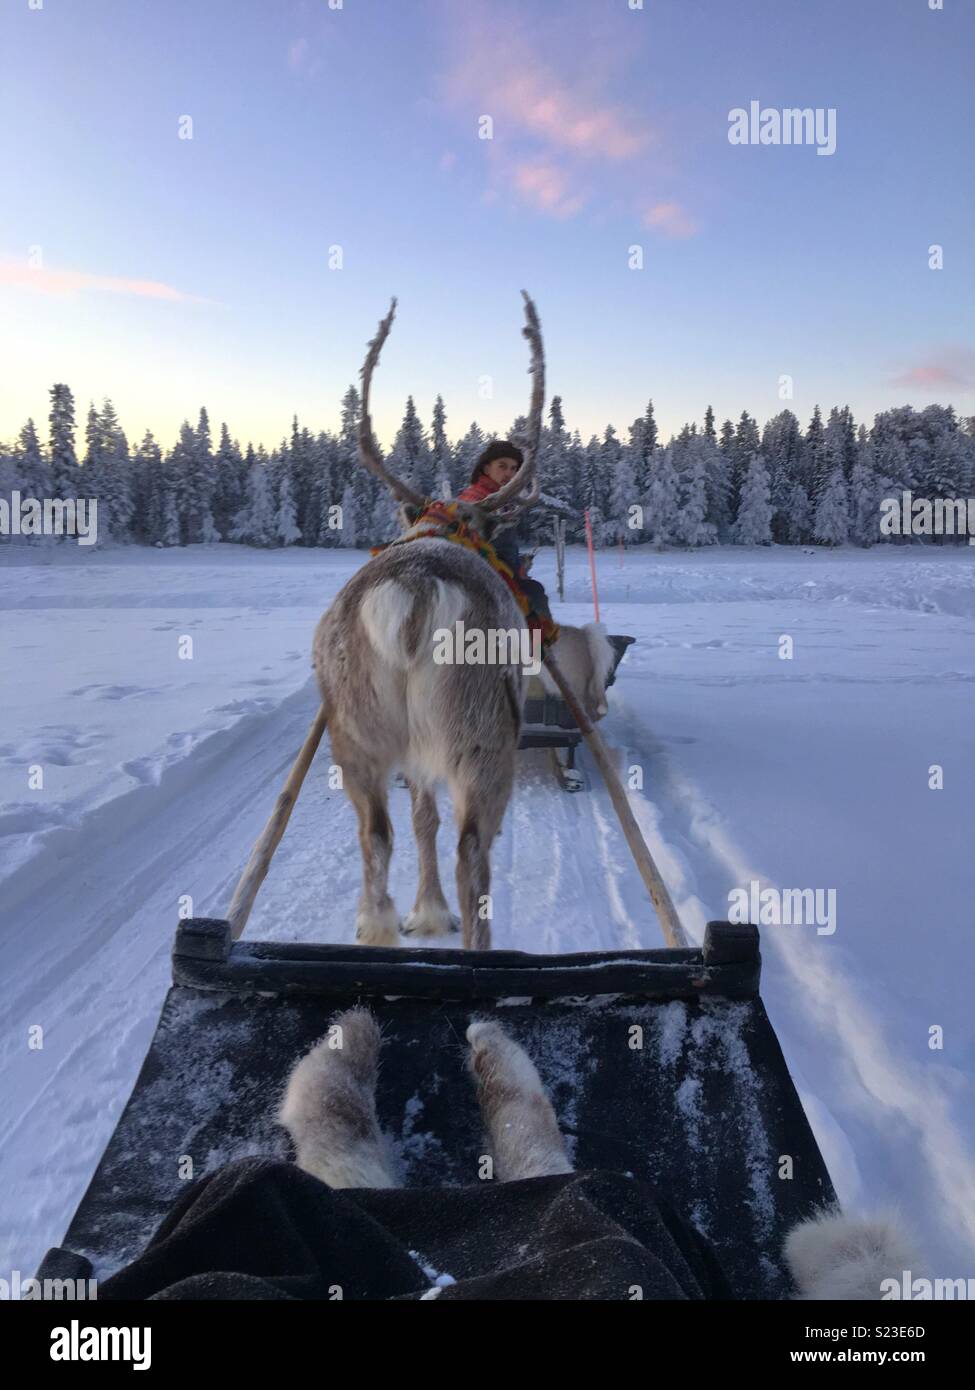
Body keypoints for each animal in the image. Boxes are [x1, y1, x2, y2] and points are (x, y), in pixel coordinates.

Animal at [312, 292, 545, 952]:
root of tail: (415, 589)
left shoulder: (411, 756)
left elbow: (420, 818)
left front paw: (425, 912)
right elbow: (436, 822)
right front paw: (436, 913)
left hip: (356, 735)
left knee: (376, 836)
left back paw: (380, 928)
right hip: (481, 737)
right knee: (473, 852)